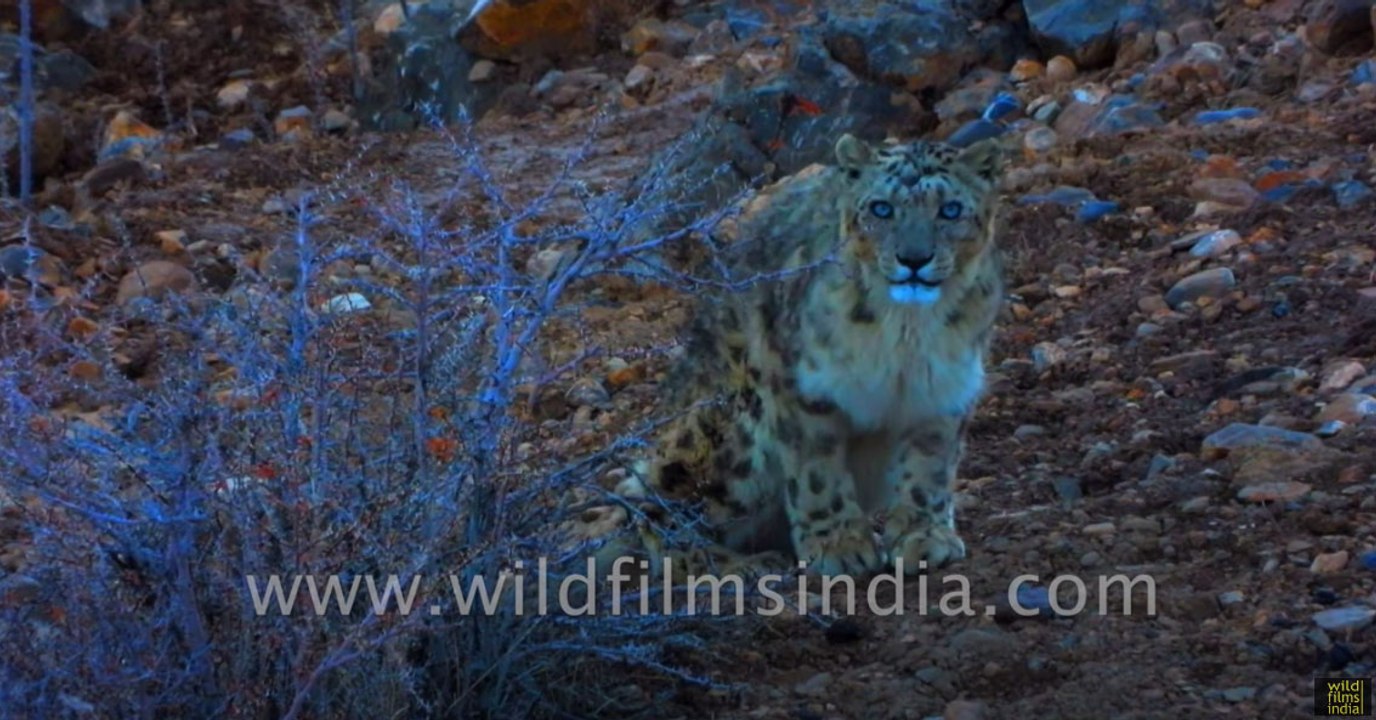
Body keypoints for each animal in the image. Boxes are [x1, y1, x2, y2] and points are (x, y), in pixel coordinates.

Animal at [581, 132, 1007, 587]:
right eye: (881, 208)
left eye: (951, 209)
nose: (913, 259)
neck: (905, 331)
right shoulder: (800, 385)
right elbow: (817, 471)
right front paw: (840, 547)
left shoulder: (942, 389)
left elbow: (930, 467)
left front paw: (923, 537)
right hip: (730, 432)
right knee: (649, 502)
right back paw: (739, 564)